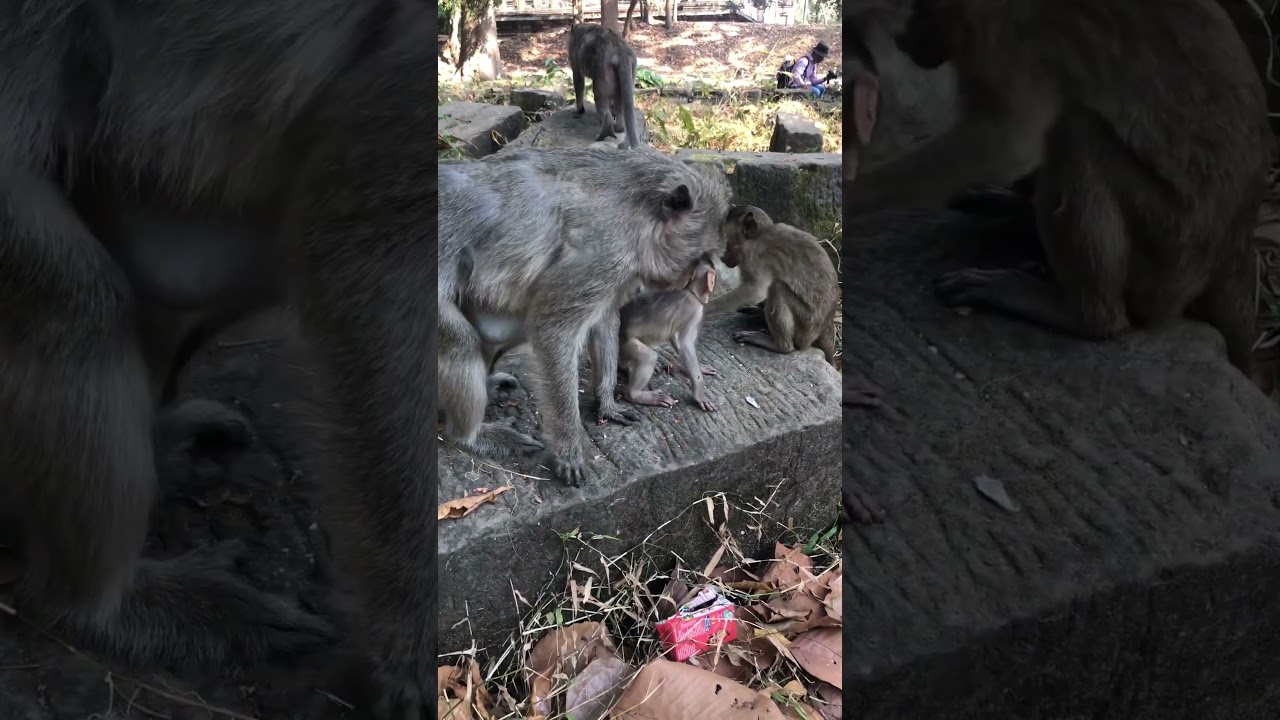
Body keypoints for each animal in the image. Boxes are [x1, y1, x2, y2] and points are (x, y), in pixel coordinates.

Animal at [618, 252, 721, 412]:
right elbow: (686, 345)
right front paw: (699, 395)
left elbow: (675, 338)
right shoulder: (695, 310)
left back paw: (626, 367)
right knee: (648, 357)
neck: (690, 291)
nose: (713, 285)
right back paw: (636, 395)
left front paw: (701, 368)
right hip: (625, 342)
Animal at [703, 206, 840, 364]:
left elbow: (755, 291)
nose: (722, 258)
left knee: (777, 288)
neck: (760, 235)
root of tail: (827, 325)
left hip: (806, 326)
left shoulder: (756, 256)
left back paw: (780, 346)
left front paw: (705, 307)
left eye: (727, 245)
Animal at [846, 0, 1270, 387]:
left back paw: (1083, 316)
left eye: (921, 9)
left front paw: (855, 196)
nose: (905, 38)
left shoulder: (1005, 33)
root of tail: (1236, 246)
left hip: (1171, 249)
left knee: (1075, 133)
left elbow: (1004, 143)